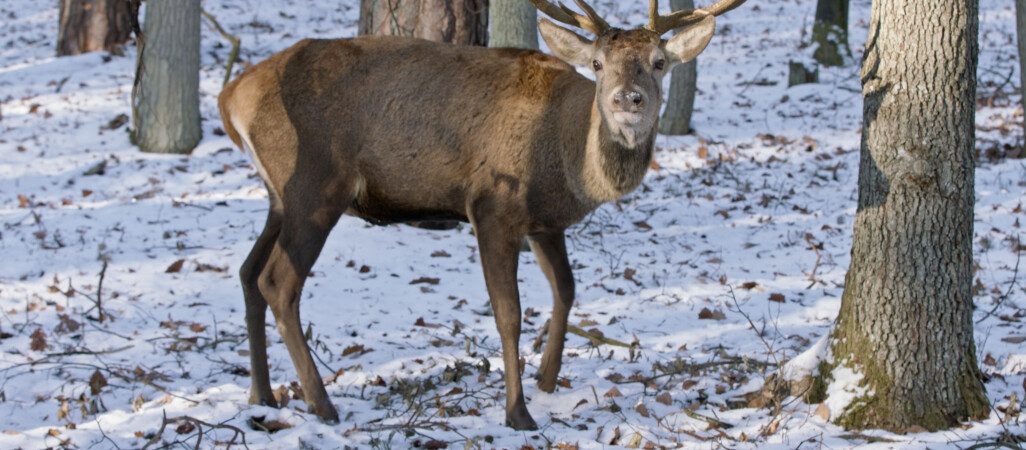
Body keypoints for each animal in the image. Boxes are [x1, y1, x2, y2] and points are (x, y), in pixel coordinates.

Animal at [218, 0, 746, 432]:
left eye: (658, 63)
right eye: (598, 64)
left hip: (279, 197)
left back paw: (262, 396)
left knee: (246, 272)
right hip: (315, 184)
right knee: (277, 281)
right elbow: (508, 313)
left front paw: (548, 378)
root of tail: (230, 97)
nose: (627, 99)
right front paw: (518, 412)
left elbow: (566, 288)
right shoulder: (493, 206)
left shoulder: (545, 223)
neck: (568, 162)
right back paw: (321, 404)